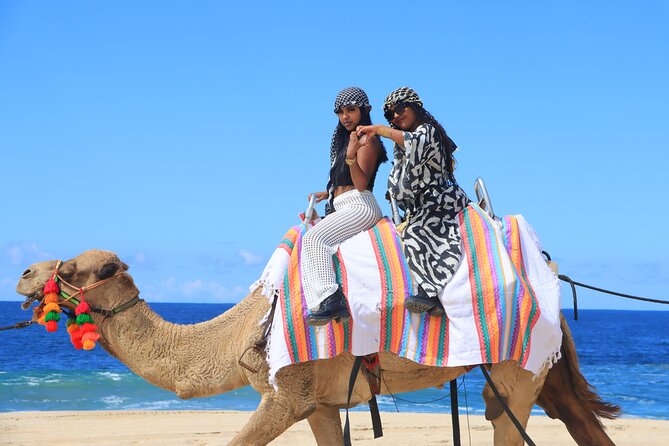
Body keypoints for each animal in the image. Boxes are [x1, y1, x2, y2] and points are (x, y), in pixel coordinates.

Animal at [16, 249, 620, 445]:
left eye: (74, 268)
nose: (24, 273)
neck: (242, 329)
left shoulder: (287, 393)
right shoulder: (321, 402)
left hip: (517, 370)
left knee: (506, 418)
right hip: (545, 371)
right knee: (578, 418)